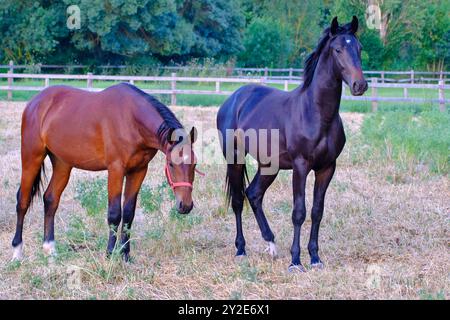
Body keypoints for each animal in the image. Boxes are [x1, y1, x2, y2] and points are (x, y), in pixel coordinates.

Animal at [11, 83, 199, 262]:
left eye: (194, 164)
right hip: (31, 158)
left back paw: (50, 250)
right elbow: (115, 213)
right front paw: (110, 254)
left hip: (62, 164)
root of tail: (35, 102)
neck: (132, 120)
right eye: (171, 164)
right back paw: (17, 252)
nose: (185, 205)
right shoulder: (116, 170)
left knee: (50, 199)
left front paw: (125, 255)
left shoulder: (139, 170)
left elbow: (129, 213)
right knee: (23, 201)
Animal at [216, 16, 368, 272]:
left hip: (269, 166)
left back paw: (271, 244)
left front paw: (315, 258)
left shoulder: (327, 168)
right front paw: (295, 261)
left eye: (359, 48)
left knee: (253, 194)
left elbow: (317, 211)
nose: (360, 85)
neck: (316, 113)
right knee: (238, 200)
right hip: (235, 158)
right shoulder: (301, 166)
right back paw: (241, 249)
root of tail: (233, 99)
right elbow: (299, 212)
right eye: (338, 50)